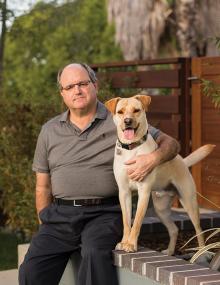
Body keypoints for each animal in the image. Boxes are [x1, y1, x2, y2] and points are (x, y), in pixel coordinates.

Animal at [105, 94, 215, 254]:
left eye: (136, 110)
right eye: (120, 112)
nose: (127, 121)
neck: (132, 149)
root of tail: (182, 161)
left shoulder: (143, 192)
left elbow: (136, 222)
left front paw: (131, 245)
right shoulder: (124, 192)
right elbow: (126, 222)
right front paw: (124, 242)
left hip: (189, 203)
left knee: (199, 230)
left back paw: (200, 253)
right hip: (161, 209)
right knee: (174, 229)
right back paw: (169, 252)